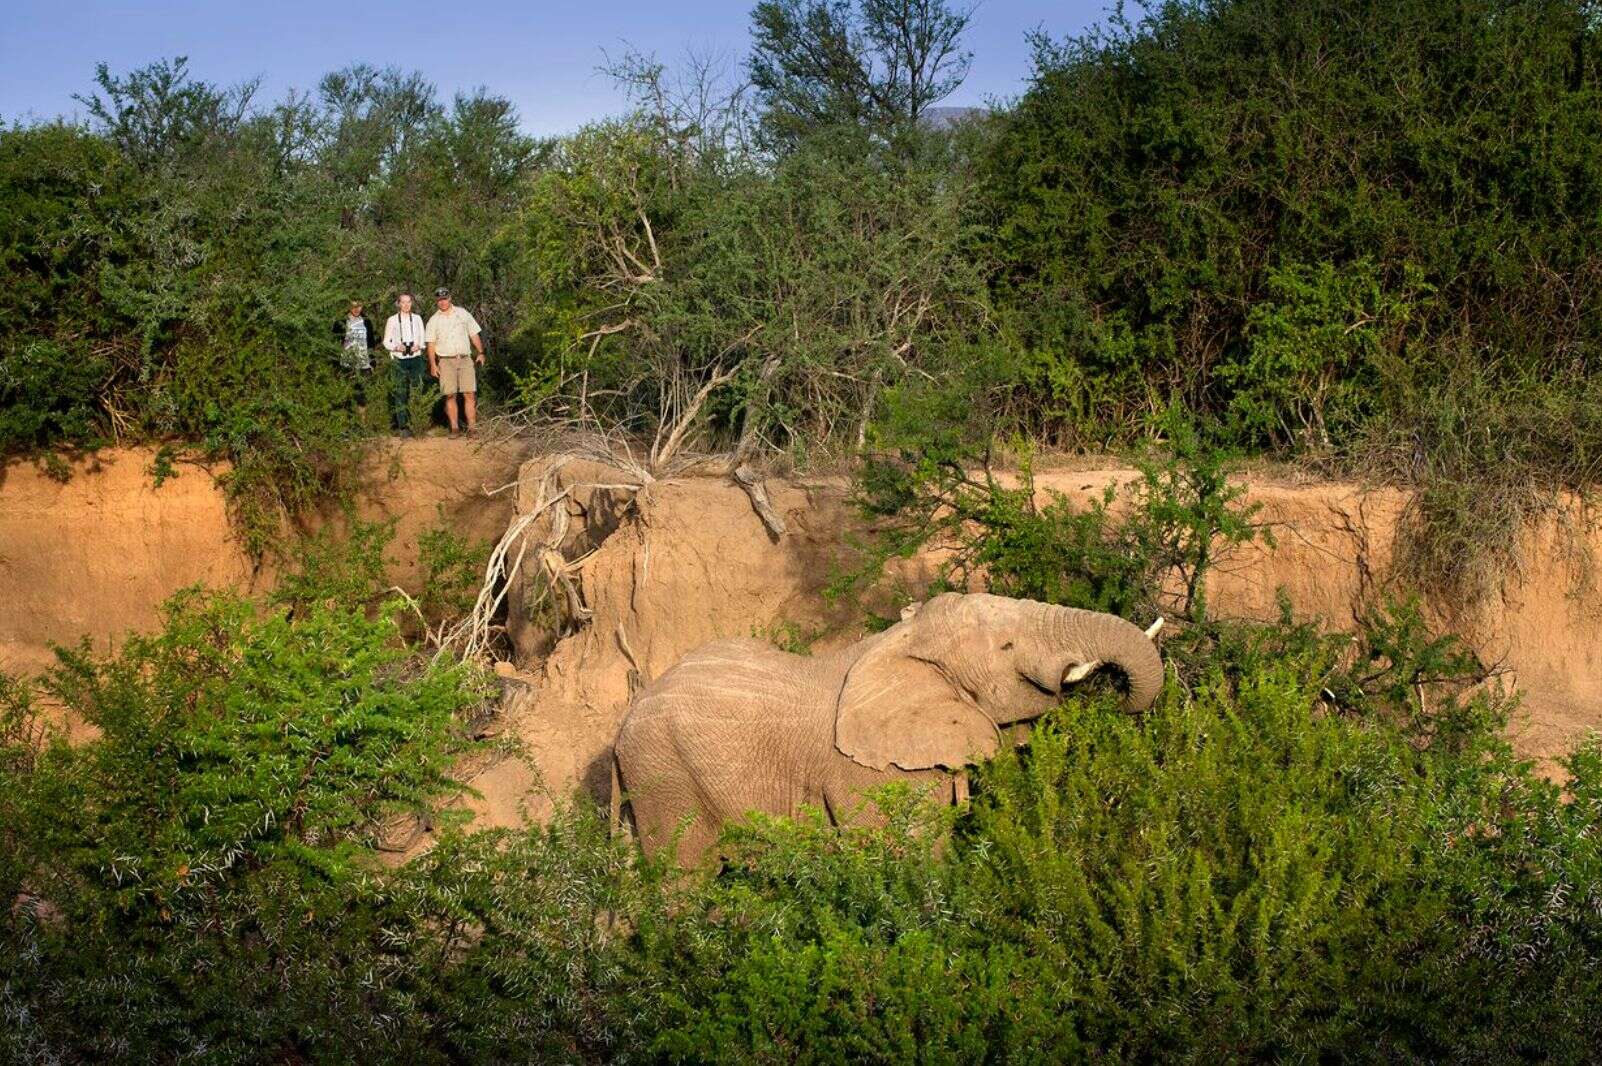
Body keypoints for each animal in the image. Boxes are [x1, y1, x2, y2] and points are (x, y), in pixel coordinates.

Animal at [612, 592, 1164, 865]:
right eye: (1007, 647)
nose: (1117, 692)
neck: (902, 640)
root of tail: (618, 733)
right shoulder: (867, 774)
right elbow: (909, 854)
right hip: (664, 779)